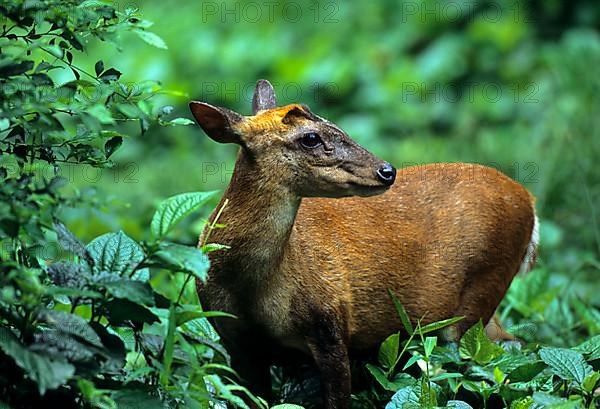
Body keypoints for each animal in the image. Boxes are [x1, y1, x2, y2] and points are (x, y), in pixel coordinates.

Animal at [190, 78, 536, 406]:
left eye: (334, 123)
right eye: (310, 137)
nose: (387, 171)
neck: (252, 291)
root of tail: (529, 201)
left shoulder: (331, 324)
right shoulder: (235, 342)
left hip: (481, 291)